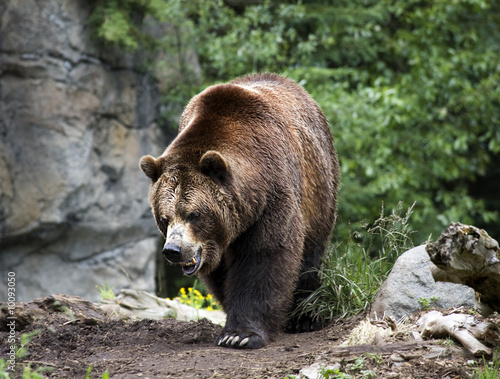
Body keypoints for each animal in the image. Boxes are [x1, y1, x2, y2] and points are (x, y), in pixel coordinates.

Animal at [141, 73, 340, 350]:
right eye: (164, 217)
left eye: (194, 214)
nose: (173, 250)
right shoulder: (217, 239)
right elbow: (221, 273)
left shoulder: (271, 198)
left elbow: (264, 255)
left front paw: (240, 335)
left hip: (319, 186)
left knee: (311, 253)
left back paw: (305, 317)